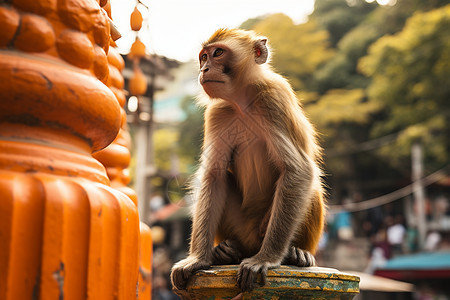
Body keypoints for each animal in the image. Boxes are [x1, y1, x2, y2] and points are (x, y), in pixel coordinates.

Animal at [171, 28, 326, 292]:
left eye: (218, 52)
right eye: (203, 57)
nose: (204, 69)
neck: (242, 102)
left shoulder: (273, 100)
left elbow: (298, 170)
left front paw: (266, 259)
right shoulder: (218, 113)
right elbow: (214, 175)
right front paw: (197, 259)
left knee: (310, 186)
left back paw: (298, 253)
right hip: (241, 228)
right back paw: (226, 250)